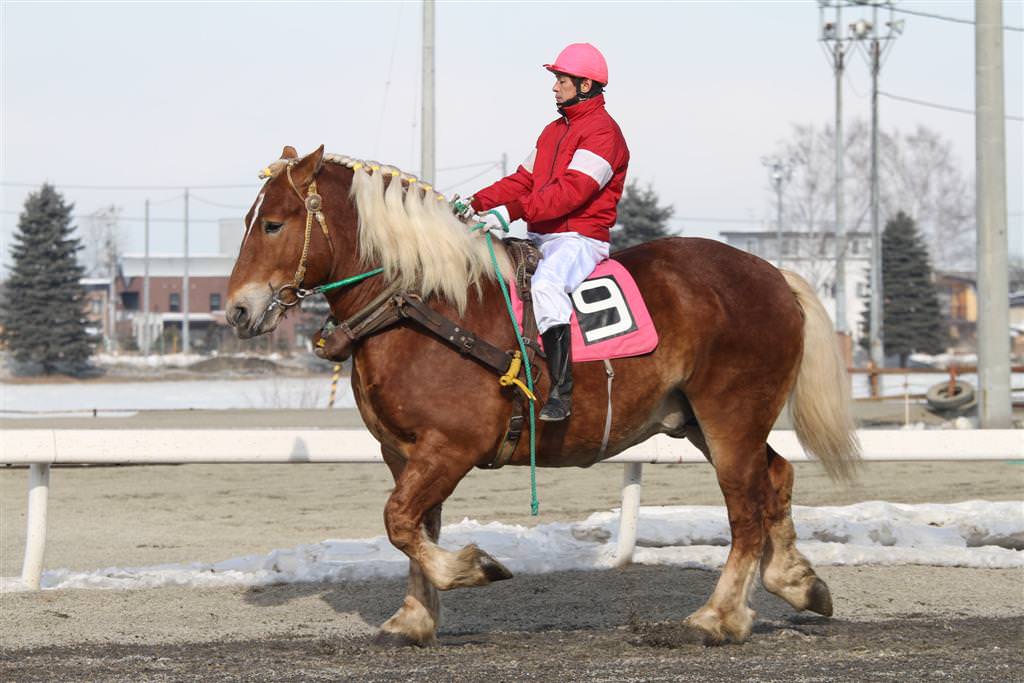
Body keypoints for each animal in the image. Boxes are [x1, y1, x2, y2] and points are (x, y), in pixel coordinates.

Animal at [226, 145, 860, 646]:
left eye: (273, 224)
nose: (236, 311)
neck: (424, 304)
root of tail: (774, 274)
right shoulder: (404, 452)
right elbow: (415, 527)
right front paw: (414, 618)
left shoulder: (450, 447)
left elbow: (400, 521)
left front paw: (471, 567)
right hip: (702, 422)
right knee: (775, 478)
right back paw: (795, 581)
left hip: (730, 418)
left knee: (746, 509)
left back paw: (720, 616)